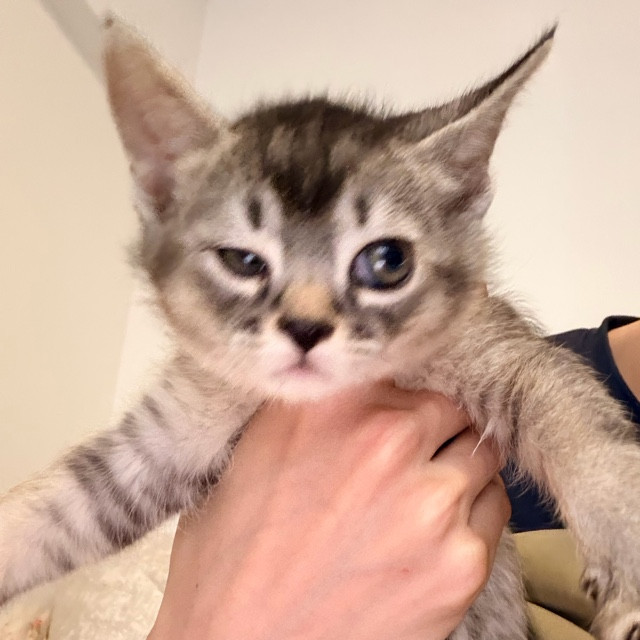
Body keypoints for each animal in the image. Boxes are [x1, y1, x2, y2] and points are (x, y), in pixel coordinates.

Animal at [1, 16, 640, 640]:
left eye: (387, 261)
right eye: (243, 261)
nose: (306, 327)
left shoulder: (500, 350)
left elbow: (576, 422)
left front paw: (626, 557)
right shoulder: (165, 440)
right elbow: (59, 500)